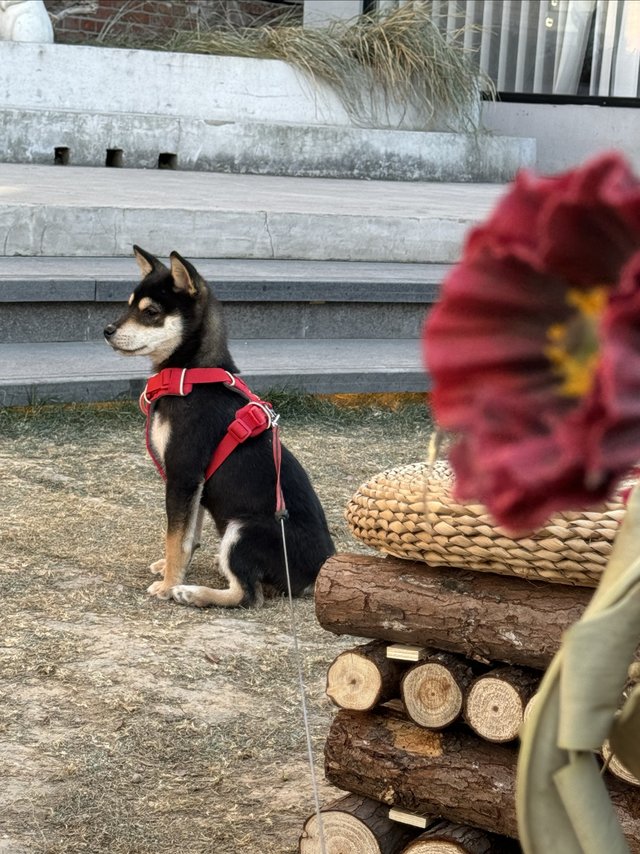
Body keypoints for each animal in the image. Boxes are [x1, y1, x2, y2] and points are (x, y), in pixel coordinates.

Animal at [104, 246, 336, 608]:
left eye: (151, 312)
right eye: (128, 305)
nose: (108, 330)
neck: (191, 377)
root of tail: (319, 571)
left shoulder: (183, 473)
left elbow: (176, 537)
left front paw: (169, 583)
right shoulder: (195, 485)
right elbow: (187, 536)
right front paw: (171, 568)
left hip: (241, 531)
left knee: (248, 596)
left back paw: (192, 593)